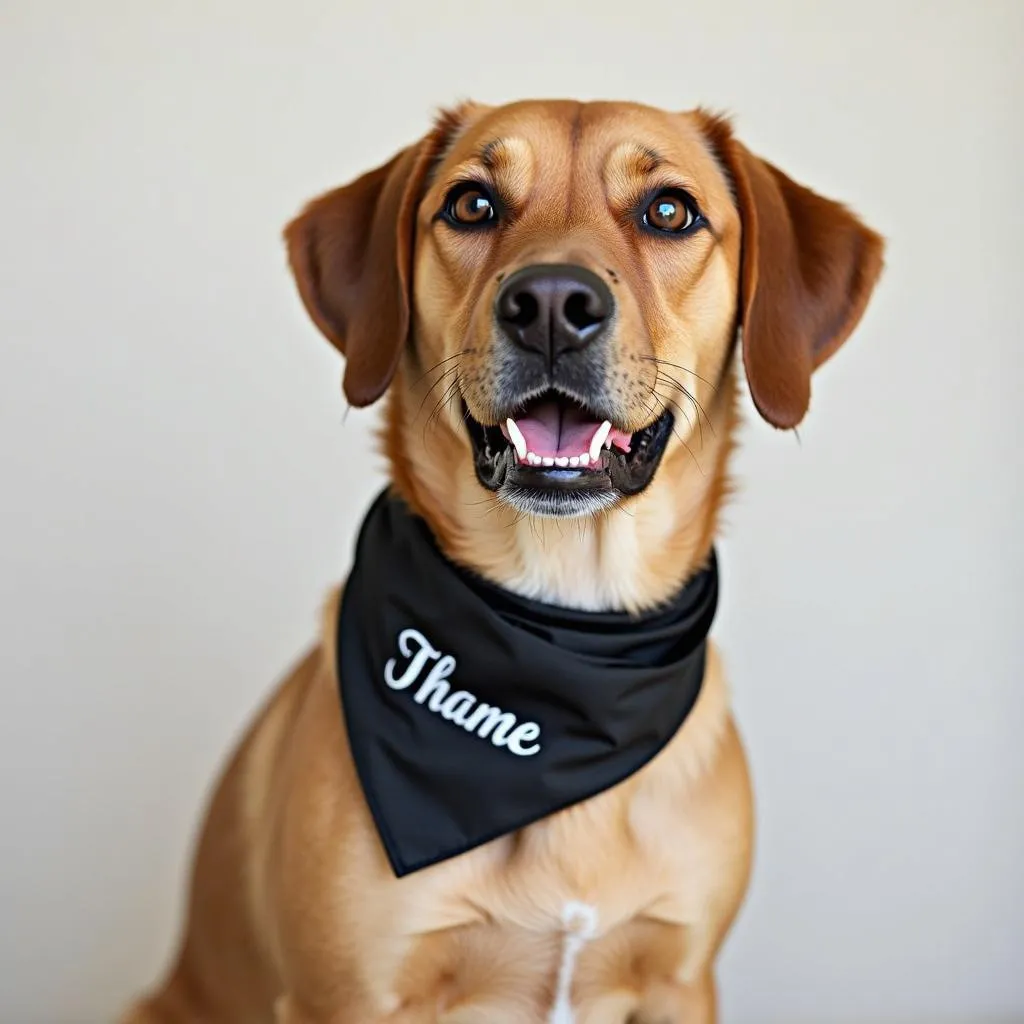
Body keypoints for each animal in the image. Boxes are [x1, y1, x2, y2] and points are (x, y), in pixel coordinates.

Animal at [121, 101, 880, 1024]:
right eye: (472, 204)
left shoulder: (681, 979)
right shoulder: (347, 995)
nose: (551, 304)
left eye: (670, 211)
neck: (563, 638)